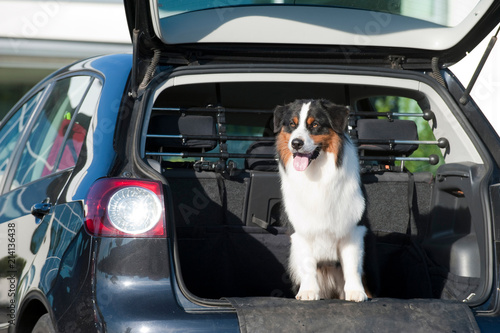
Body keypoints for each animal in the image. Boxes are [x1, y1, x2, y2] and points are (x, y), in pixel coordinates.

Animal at [276, 98, 374, 300]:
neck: (316, 174)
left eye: (314, 125)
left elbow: (352, 264)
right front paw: (308, 292)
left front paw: (356, 292)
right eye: (292, 124)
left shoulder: (353, 227)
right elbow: (308, 264)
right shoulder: (301, 230)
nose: (296, 143)